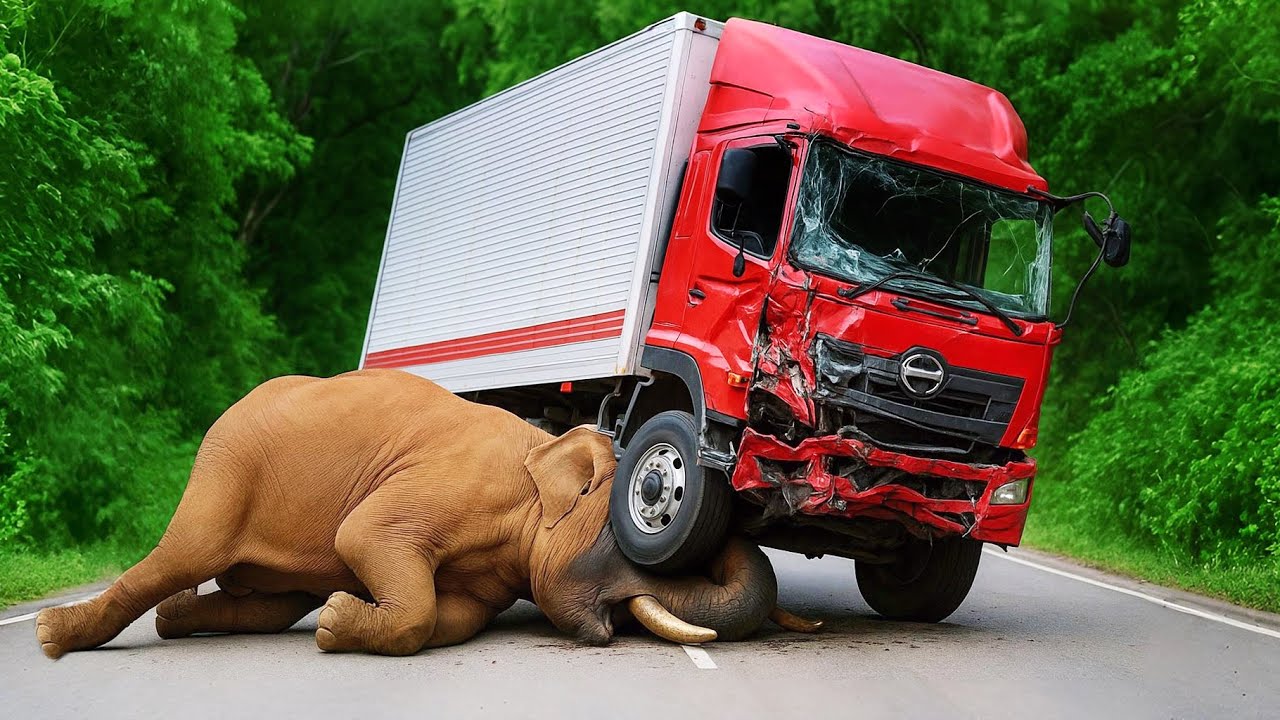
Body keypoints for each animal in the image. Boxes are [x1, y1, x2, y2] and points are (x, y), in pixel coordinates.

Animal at [35, 370, 818, 658]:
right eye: (646, 512)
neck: (542, 458)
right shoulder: (443, 486)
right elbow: (366, 539)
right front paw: (338, 623)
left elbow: (451, 618)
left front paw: (341, 616)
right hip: (224, 470)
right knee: (179, 556)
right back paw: (52, 637)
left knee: (268, 605)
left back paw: (182, 622)